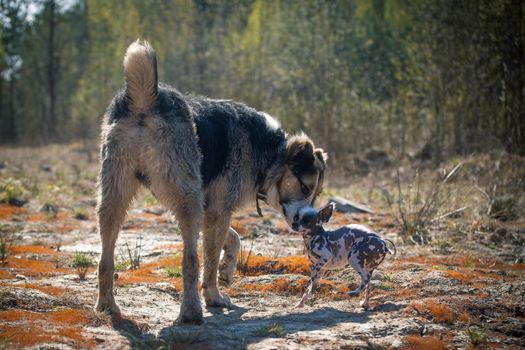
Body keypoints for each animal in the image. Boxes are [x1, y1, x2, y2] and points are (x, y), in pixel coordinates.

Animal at [93, 40, 324, 322]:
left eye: (317, 194)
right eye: (303, 187)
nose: (312, 220)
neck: (272, 152)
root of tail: (146, 99)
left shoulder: (211, 210)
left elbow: (232, 238)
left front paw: (227, 270)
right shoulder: (219, 211)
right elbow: (211, 259)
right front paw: (214, 295)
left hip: (113, 196)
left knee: (105, 260)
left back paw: (107, 305)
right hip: (187, 200)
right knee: (190, 260)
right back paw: (192, 310)